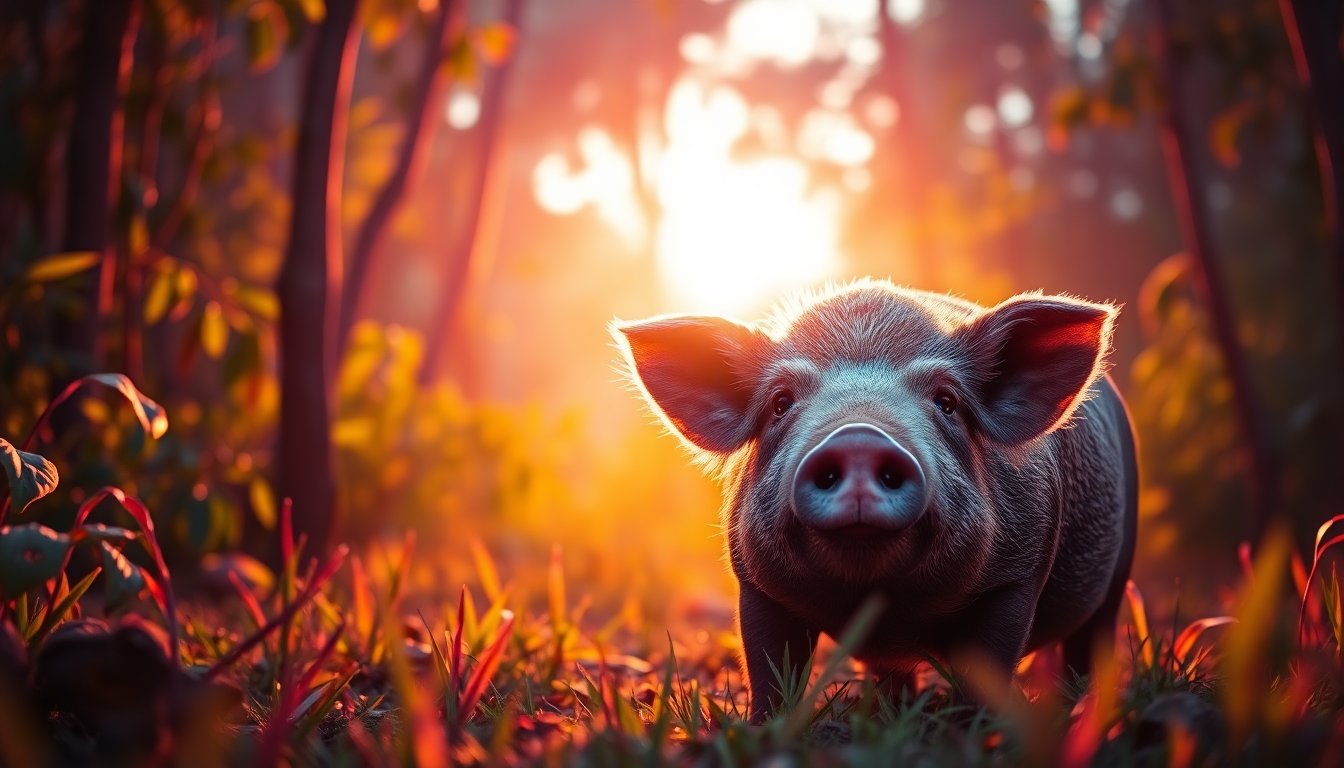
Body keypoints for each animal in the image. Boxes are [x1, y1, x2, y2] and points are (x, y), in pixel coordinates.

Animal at [613, 279, 1138, 722]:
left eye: (947, 401)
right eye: (780, 402)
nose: (859, 435)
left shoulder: (1017, 575)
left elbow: (986, 666)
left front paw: (973, 731)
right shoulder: (756, 583)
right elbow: (770, 668)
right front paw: (767, 729)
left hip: (1119, 567)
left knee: (1091, 641)